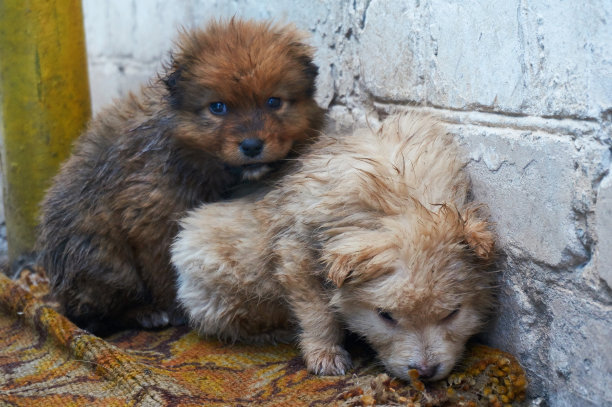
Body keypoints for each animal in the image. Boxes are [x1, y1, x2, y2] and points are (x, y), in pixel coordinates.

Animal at [36, 19, 326, 336]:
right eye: (218, 107)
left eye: (274, 102)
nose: (251, 146)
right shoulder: (151, 216)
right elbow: (165, 269)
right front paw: (178, 309)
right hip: (103, 258)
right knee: (95, 314)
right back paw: (144, 313)